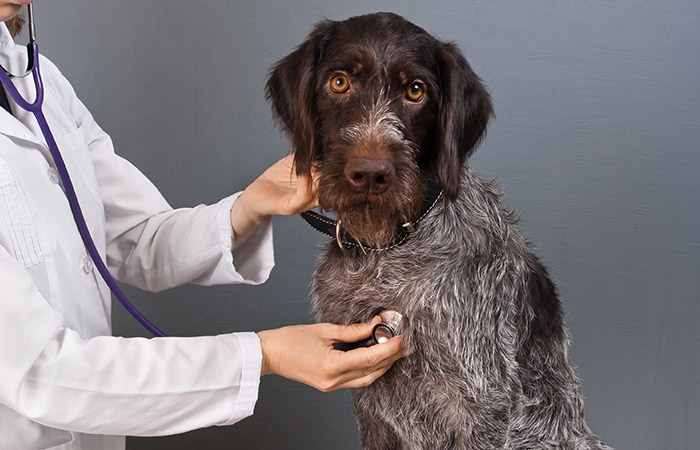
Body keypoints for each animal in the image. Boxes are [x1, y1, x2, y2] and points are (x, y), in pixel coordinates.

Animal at [266, 11, 608, 450]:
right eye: (339, 82)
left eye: (416, 91)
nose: (370, 174)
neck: (388, 250)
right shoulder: (370, 401)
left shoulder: (482, 402)